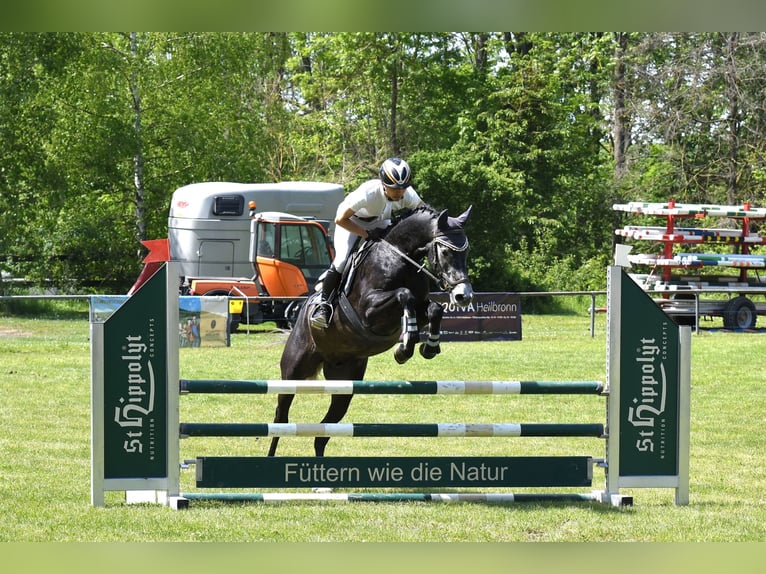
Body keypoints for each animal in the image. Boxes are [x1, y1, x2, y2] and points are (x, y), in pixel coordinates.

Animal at [268, 205, 474, 456]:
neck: (400, 257)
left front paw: (429, 347)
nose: (463, 296)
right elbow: (404, 294)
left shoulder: (421, 307)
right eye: (445, 252)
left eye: (466, 251)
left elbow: (434, 308)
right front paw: (404, 349)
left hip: (345, 385)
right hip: (293, 373)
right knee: (281, 417)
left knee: (322, 433)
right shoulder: (369, 310)